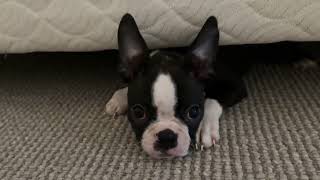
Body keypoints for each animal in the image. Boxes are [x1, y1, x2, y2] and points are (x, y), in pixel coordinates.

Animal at [105, 13, 248, 158]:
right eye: (138, 112)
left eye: (194, 112)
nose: (166, 136)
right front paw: (119, 98)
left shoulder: (236, 85)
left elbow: (211, 100)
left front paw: (204, 127)